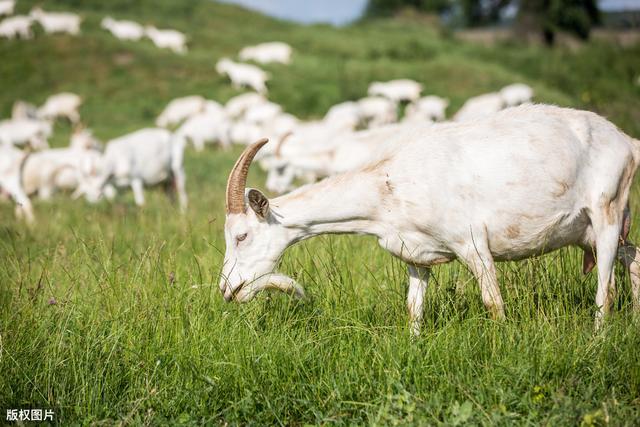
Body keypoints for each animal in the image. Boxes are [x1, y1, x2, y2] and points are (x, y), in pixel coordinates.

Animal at [216, 104, 640, 338]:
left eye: (241, 235)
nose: (227, 289)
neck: (387, 183)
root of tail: (627, 142)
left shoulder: (472, 243)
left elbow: (493, 302)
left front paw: (502, 343)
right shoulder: (415, 255)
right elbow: (413, 308)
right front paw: (414, 345)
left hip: (606, 208)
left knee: (606, 289)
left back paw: (598, 339)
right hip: (592, 230)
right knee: (632, 255)